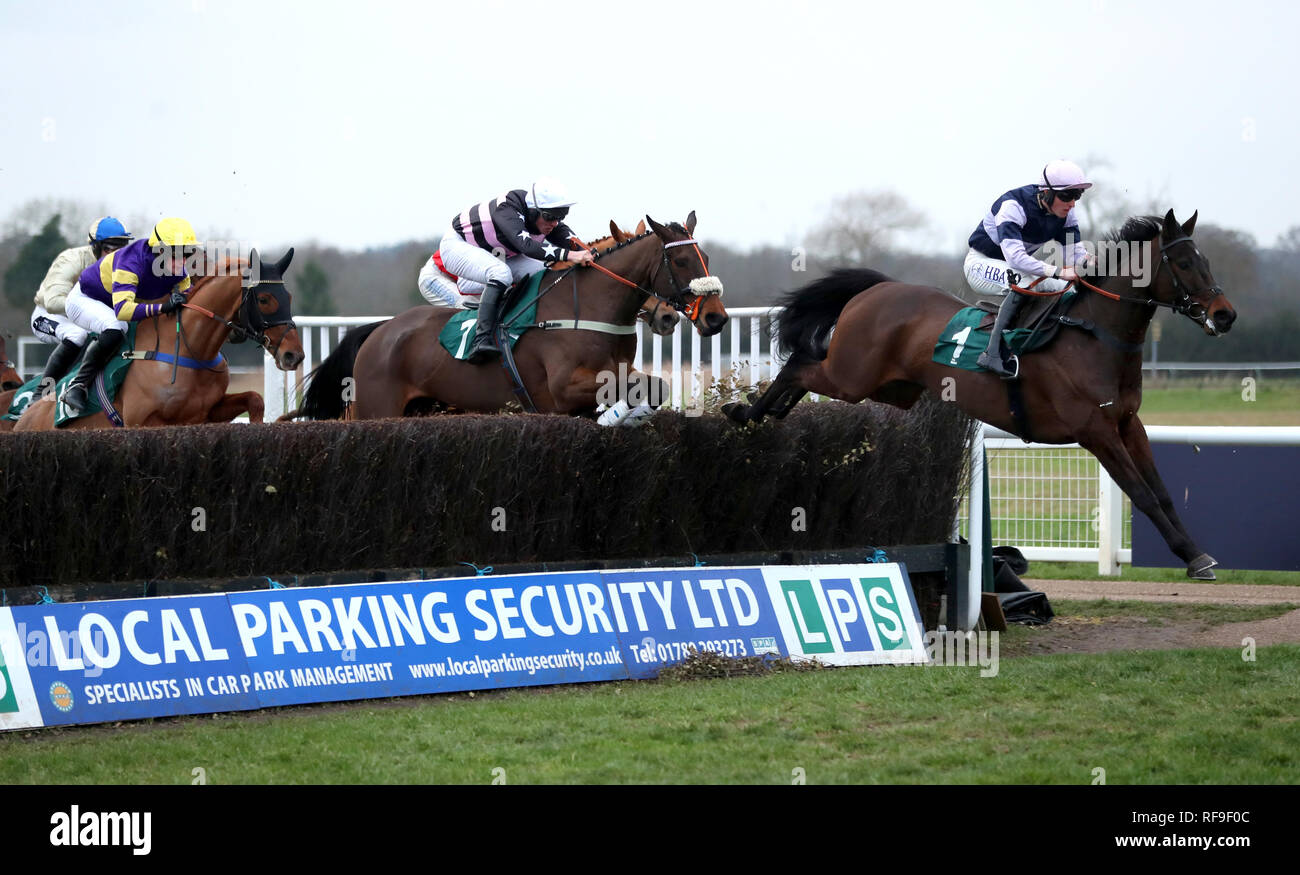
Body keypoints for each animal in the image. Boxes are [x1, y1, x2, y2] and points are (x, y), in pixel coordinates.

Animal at [13, 249, 301, 429]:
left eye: (289, 297)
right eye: (264, 299)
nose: (294, 355)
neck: (189, 349)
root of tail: (23, 420)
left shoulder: (209, 411)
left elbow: (255, 398)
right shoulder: (142, 421)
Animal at [288, 209, 728, 418]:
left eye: (706, 257)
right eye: (683, 261)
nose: (716, 318)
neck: (588, 308)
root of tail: (378, 332)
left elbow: (653, 386)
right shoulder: (564, 388)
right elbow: (641, 386)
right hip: (377, 407)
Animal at [733, 209, 1237, 579]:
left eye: (1208, 261)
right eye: (1184, 263)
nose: (1225, 314)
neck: (1094, 336)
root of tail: (879, 289)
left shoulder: (1128, 424)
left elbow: (1162, 492)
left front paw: (1196, 553)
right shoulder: (1095, 431)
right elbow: (1141, 494)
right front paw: (1193, 558)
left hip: (890, 388)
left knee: (803, 373)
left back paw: (764, 413)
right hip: (850, 376)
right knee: (799, 365)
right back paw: (744, 413)